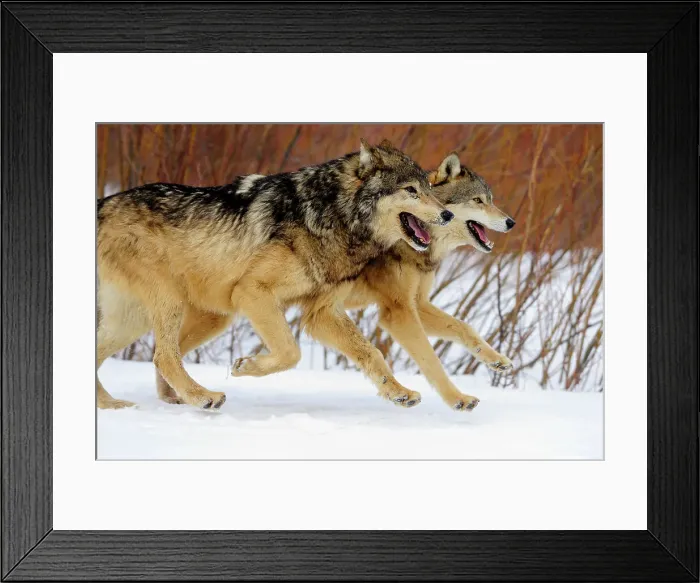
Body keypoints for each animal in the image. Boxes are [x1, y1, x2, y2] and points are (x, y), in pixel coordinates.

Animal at [97, 140, 453, 410]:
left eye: (429, 188)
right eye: (411, 190)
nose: (448, 214)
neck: (331, 217)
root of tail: (104, 204)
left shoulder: (322, 313)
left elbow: (372, 353)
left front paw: (398, 392)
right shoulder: (252, 292)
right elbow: (290, 352)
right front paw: (246, 367)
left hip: (162, 319)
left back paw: (113, 405)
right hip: (172, 305)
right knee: (163, 357)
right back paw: (203, 397)